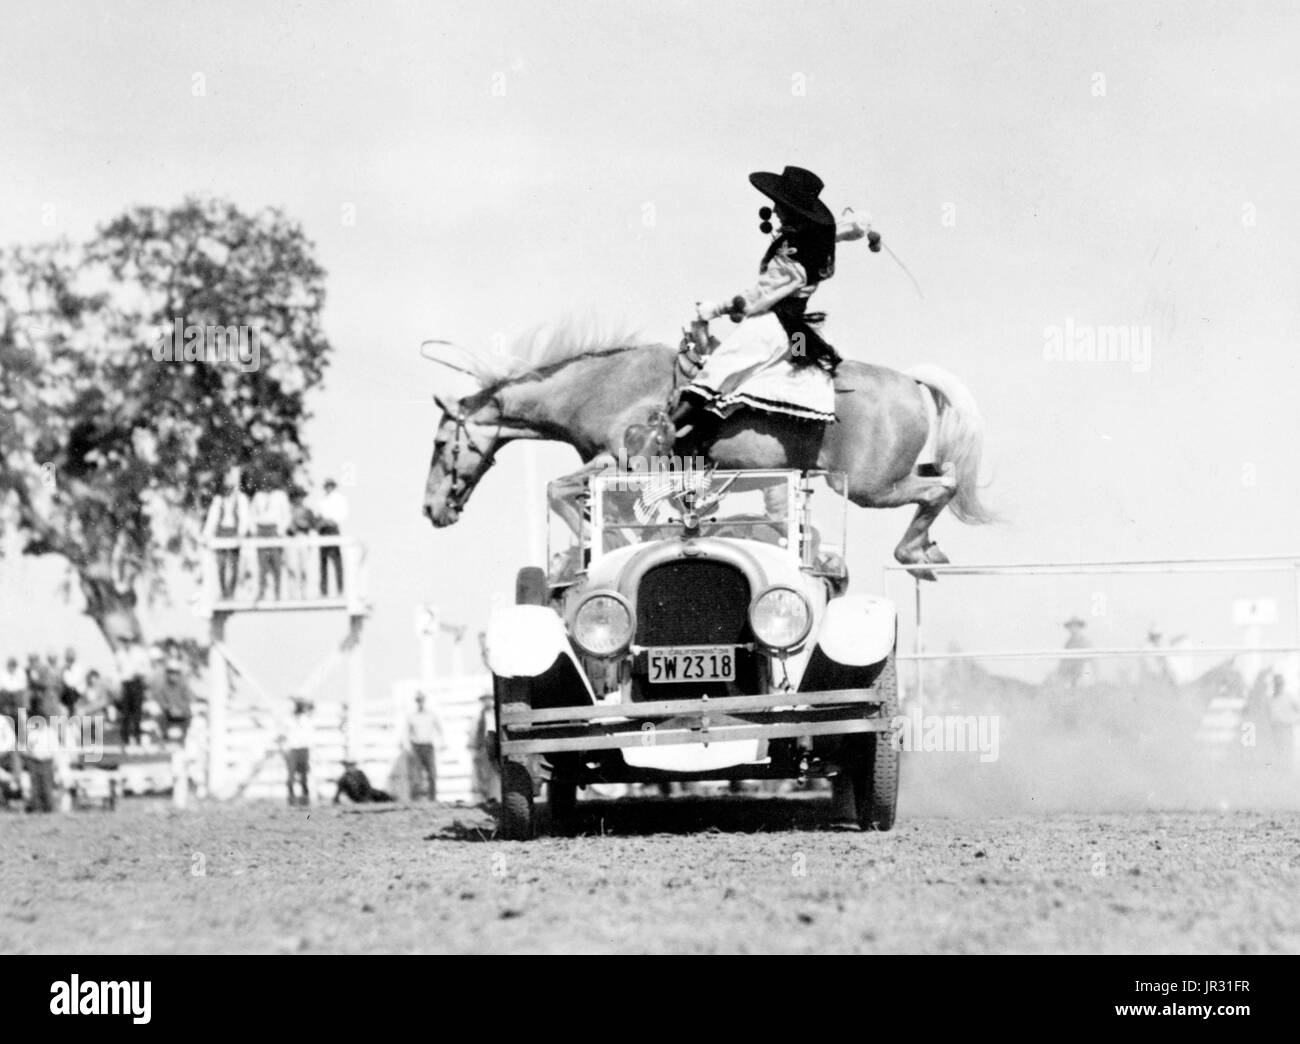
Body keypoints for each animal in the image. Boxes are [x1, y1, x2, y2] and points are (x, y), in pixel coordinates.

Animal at [421, 326, 987, 572]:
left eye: (440, 442)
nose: (430, 509)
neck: (601, 387)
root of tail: (908, 380)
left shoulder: (628, 466)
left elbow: (558, 491)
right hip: (889, 478)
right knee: (944, 473)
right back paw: (927, 549)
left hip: (871, 487)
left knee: (943, 485)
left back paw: (914, 553)